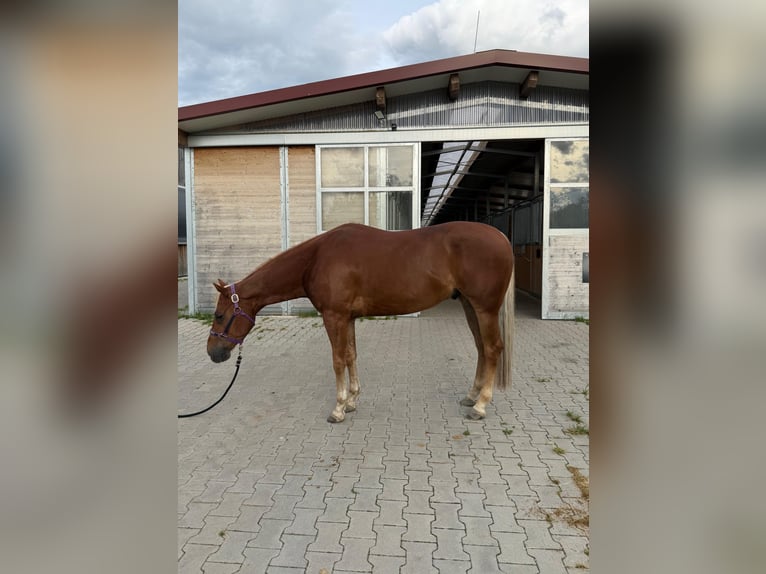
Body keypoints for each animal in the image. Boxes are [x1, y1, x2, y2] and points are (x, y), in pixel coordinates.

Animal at [207, 221, 514, 422]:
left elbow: (338, 360)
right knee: (480, 347)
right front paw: (353, 400)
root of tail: (501, 236)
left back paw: (480, 406)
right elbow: (351, 356)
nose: (213, 353)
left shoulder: (334, 316)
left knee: (492, 349)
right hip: (469, 305)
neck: (315, 259)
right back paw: (471, 396)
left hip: (484, 308)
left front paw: (338, 409)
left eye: (219, 315)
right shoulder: (348, 318)